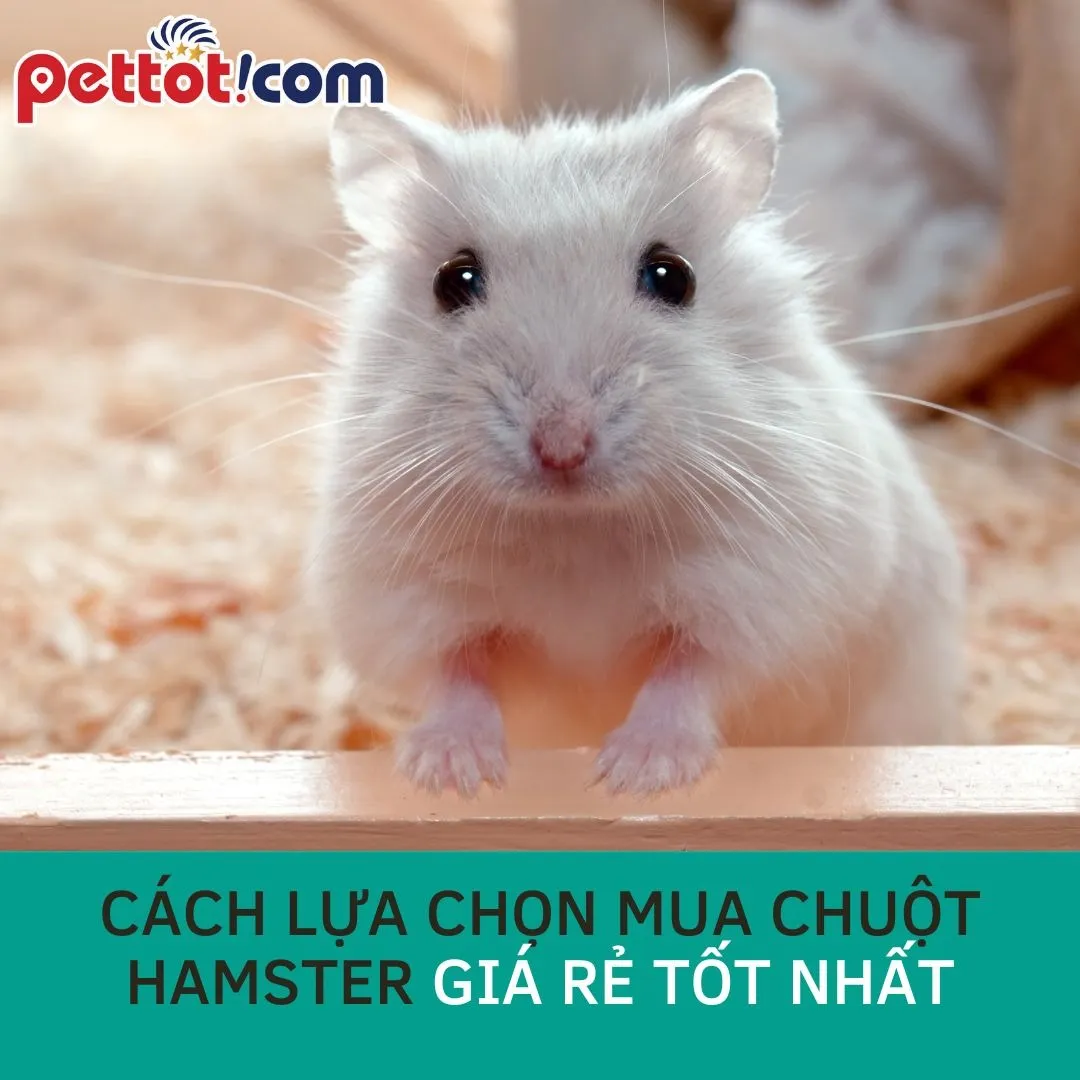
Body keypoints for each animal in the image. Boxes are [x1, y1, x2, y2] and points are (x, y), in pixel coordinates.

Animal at [310, 69, 966, 797]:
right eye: (453, 281)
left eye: (671, 275)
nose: (562, 447)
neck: (577, 531)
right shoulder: (402, 599)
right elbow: (454, 673)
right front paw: (455, 775)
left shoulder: (768, 593)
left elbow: (690, 673)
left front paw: (633, 775)